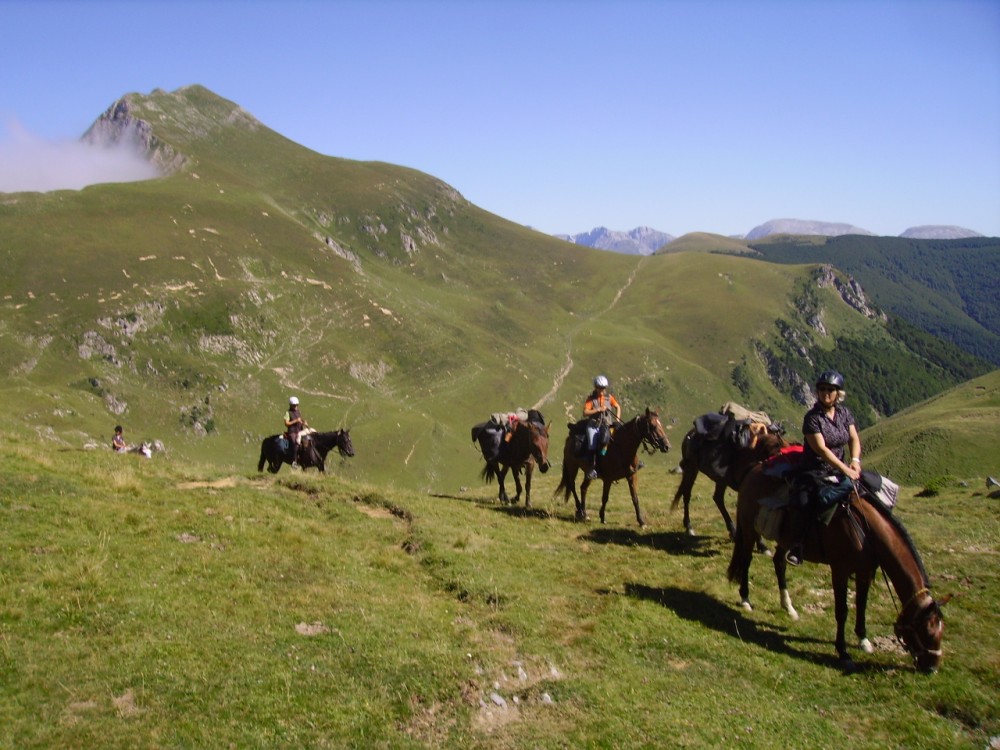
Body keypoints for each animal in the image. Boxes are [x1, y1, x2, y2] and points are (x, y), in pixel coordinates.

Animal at [728, 468, 944, 672]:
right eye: (927, 632)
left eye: (942, 631)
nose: (932, 668)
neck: (866, 530)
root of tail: (753, 471)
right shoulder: (840, 570)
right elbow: (842, 611)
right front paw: (843, 652)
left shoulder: (865, 572)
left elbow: (862, 605)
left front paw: (863, 640)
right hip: (749, 528)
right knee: (746, 561)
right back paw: (745, 599)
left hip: (786, 539)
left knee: (779, 563)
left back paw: (789, 607)